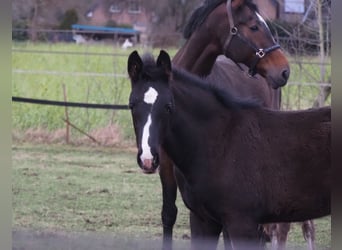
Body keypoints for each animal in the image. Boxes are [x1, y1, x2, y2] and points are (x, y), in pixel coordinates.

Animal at [127, 49, 330, 249]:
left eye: (168, 106)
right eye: (132, 105)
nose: (147, 159)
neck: (220, 142)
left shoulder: (242, 222)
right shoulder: (203, 219)